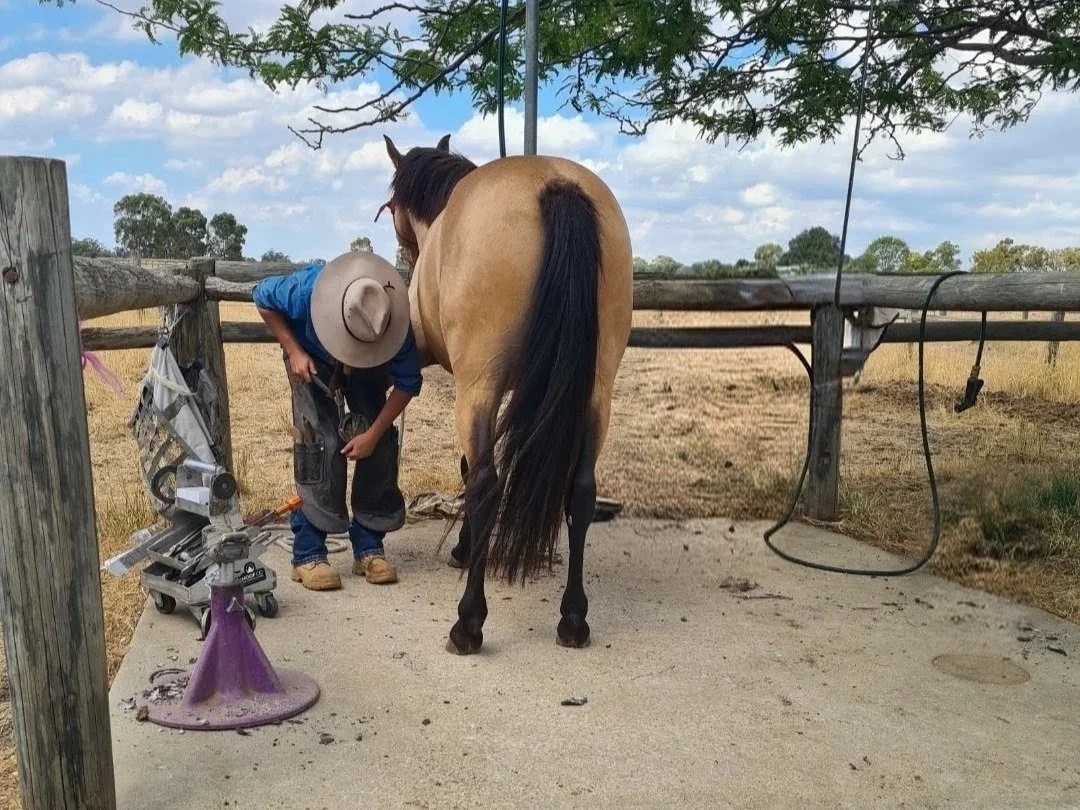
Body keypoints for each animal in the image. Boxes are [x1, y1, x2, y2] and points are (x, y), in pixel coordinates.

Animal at [380, 133, 633, 655]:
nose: (406, 258)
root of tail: (557, 186)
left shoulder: (461, 380)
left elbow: (466, 469)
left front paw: (463, 550)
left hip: (479, 386)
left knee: (484, 486)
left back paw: (468, 623)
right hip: (597, 391)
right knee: (581, 491)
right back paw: (573, 618)